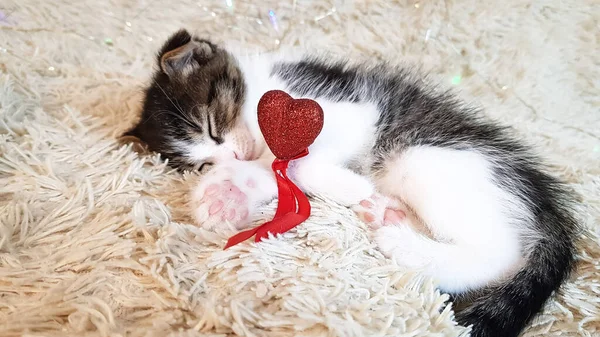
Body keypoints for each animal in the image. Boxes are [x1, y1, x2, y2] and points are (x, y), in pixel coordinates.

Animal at [124, 28, 580, 336]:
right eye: (202, 164)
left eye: (212, 126)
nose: (230, 160)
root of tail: (542, 196)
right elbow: (276, 168)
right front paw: (226, 194)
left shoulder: (348, 109)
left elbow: (294, 162)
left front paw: (348, 185)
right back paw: (389, 215)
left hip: (426, 158)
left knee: (500, 256)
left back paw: (405, 245)